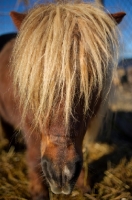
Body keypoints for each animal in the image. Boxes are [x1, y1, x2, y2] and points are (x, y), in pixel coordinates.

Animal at [0, 1, 125, 200]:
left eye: (92, 80)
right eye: (36, 78)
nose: (60, 175)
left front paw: (83, 185)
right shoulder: (29, 125)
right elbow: (34, 155)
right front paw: (39, 192)